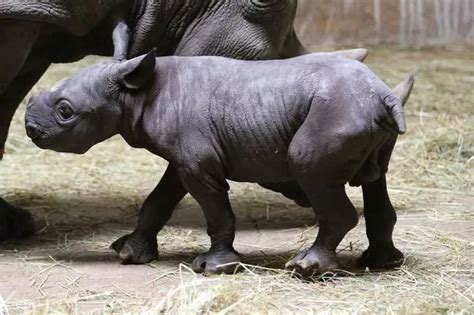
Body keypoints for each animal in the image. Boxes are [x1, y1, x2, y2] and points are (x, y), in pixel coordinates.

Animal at [25, 51, 412, 276]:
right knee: (376, 178)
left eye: (65, 111)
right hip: (360, 112)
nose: (30, 129)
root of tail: (384, 93)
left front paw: (214, 267)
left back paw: (306, 268)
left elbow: (216, 211)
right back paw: (382, 263)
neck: (134, 92)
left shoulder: (198, 165)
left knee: (310, 170)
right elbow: (158, 199)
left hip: (338, 112)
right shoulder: (183, 158)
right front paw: (127, 253)